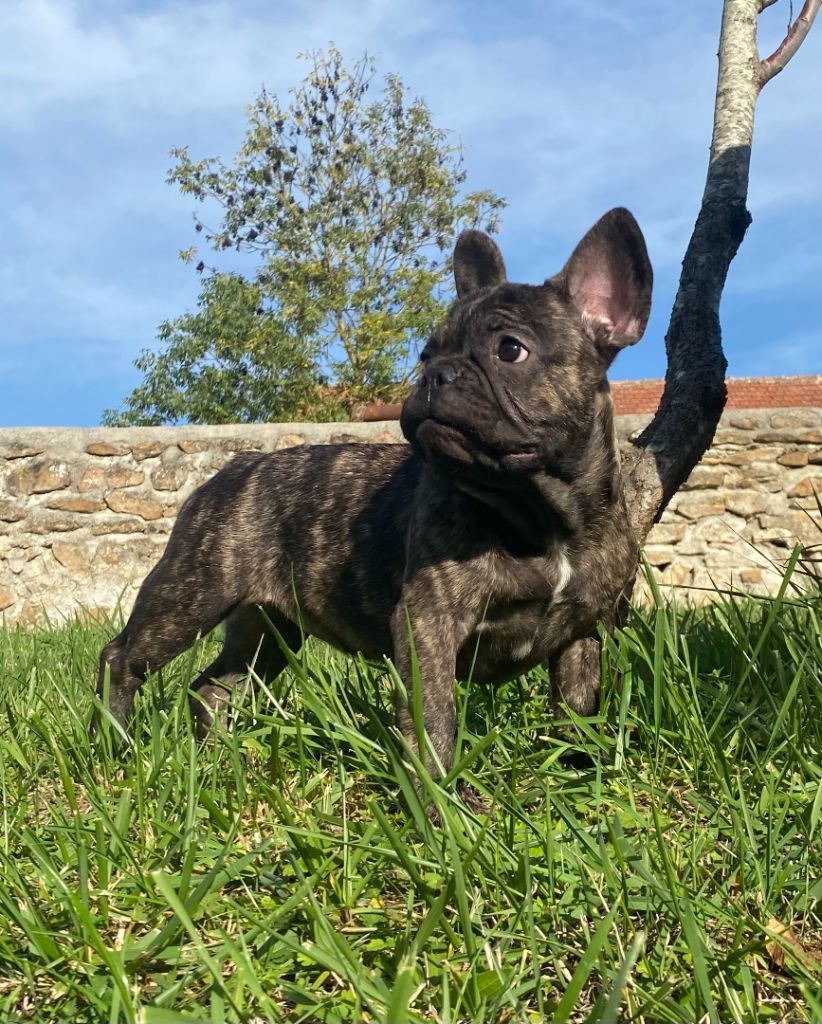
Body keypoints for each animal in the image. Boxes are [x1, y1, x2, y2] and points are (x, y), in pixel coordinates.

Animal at [96, 203, 651, 786]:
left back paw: (221, 764)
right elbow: (435, 721)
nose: (435, 374)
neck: (541, 514)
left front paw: (582, 776)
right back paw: (113, 746)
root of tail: (235, 467)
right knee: (123, 659)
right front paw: (440, 796)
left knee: (215, 687)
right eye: (427, 353)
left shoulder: (584, 634)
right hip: (189, 597)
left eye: (510, 350)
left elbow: (578, 711)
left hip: (269, 628)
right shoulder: (428, 625)